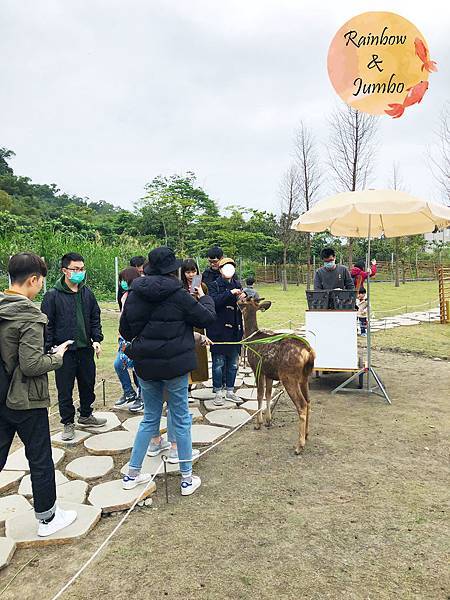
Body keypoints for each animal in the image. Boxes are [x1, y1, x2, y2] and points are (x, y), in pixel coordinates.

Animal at [239, 296, 316, 454]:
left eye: (244, 300)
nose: (237, 300)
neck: (251, 338)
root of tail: (309, 353)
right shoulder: (269, 373)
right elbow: (268, 394)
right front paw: (268, 421)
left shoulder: (257, 368)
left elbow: (259, 395)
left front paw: (258, 423)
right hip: (304, 378)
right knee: (309, 401)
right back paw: (306, 435)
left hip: (288, 377)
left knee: (302, 405)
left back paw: (299, 446)